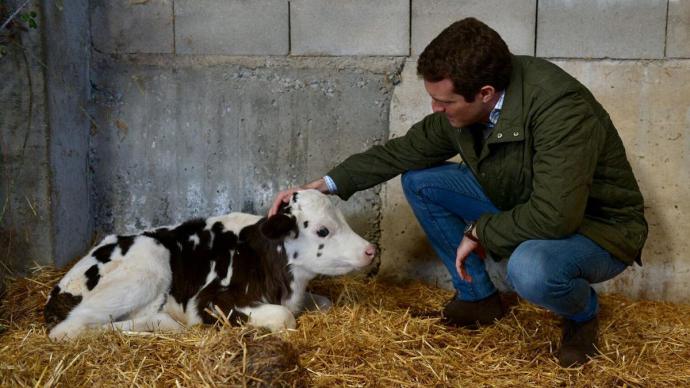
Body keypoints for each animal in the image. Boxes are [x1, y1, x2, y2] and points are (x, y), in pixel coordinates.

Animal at [45, 190, 374, 340]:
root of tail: (60, 287)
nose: (370, 250)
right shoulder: (212, 300)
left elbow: (323, 303)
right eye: (322, 230)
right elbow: (284, 317)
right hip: (147, 266)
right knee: (69, 328)